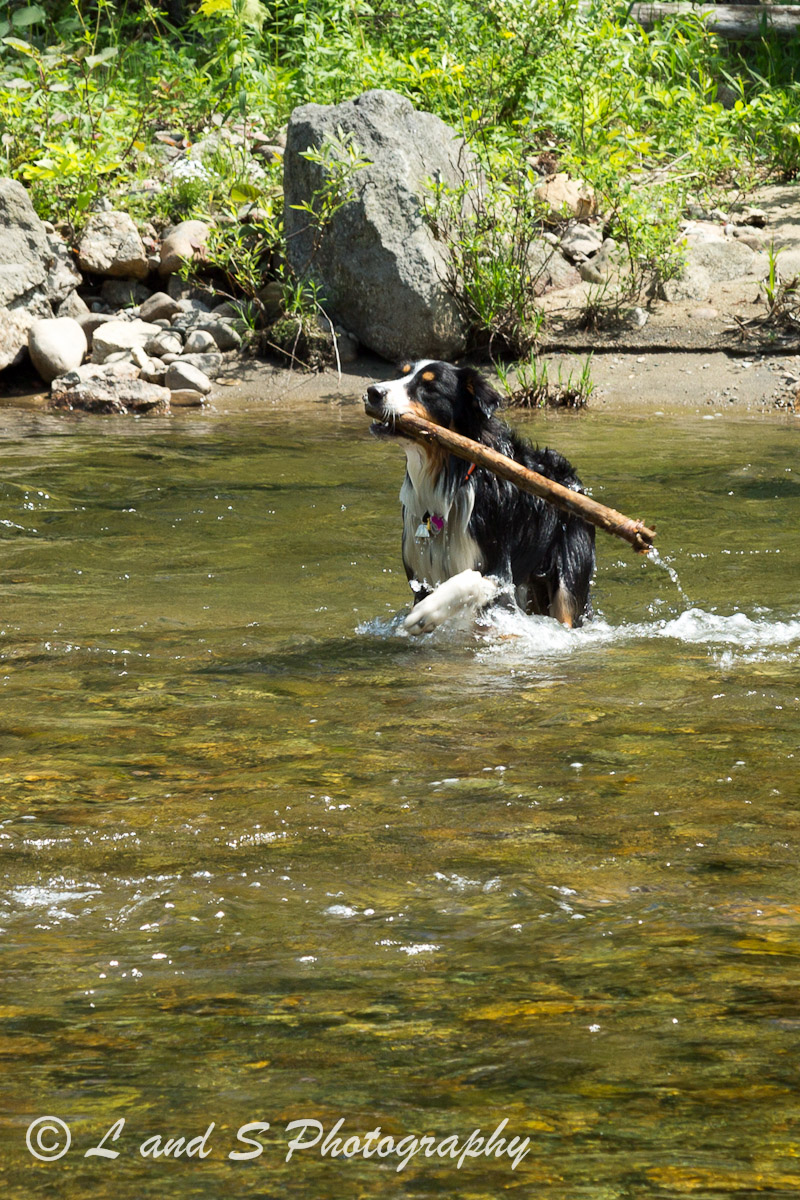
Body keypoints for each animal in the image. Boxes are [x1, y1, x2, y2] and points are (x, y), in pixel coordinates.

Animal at [365, 360, 595, 635]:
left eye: (430, 388)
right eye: (400, 375)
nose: (372, 392)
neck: (449, 480)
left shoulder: (500, 571)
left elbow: (470, 579)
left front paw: (428, 612)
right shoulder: (419, 577)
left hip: (567, 582)